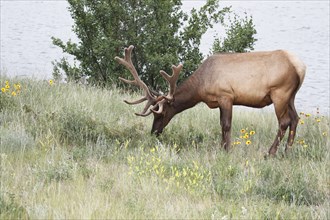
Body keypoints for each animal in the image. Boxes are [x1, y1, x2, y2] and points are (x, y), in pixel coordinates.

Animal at [114, 44, 306, 156]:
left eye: (159, 113)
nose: (154, 132)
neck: (201, 87)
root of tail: (301, 67)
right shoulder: (220, 101)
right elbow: (221, 125)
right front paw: (223, 147)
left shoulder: (226, 95)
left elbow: (226, 125)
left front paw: (227, 150)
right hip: (291, 96)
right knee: (295, 119)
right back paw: (287, 152)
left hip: (280, 93)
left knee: (284, 121)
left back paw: (271, 153)